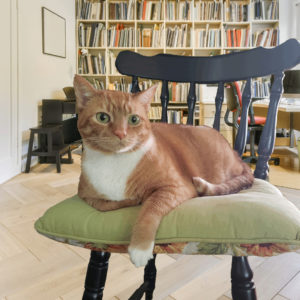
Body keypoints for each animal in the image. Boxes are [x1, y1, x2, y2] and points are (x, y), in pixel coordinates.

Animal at [72, 75, 253, 268]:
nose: (121, 133)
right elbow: (105, 204)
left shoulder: (176, 187)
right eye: (102, 117)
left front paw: (140, 247)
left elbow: (150, 208)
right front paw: (131, 200)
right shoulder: (85, 195)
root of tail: (237, 155)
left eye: (134, 120)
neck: (114, 161)